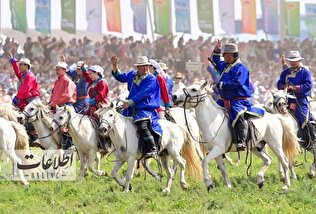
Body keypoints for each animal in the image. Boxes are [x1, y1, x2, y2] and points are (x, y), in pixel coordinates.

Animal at [172, 81, 300, 190]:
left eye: (193, 89)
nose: (174, 96)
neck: (212, 122)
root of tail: (275, 117)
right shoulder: (216, 153)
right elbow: (222, 169)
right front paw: (228, 186)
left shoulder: (218, 149)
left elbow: (204, 161)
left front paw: (208, 183)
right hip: (256, 147)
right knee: (268, 159)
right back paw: (260, 180)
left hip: (275, 145)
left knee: (284, 161)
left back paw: (286, 185)